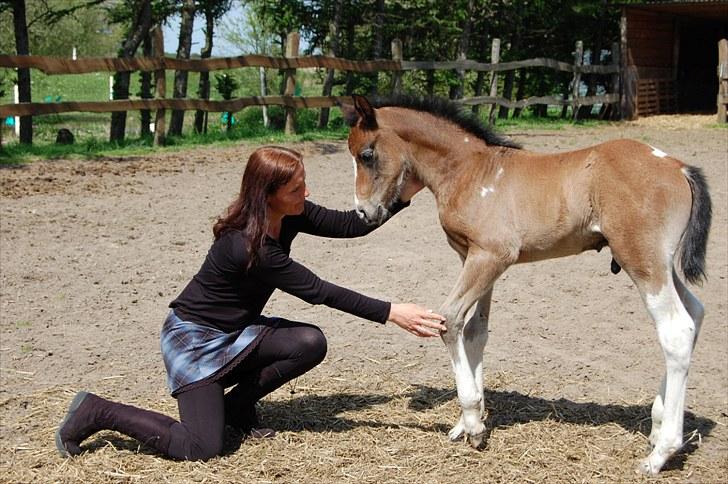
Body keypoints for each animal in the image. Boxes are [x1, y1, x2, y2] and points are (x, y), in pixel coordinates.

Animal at [342, 92, 712, 474]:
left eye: (366, 154)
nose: (363, 212)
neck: (468, 170)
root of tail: (678, 167)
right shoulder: (477, 258)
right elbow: (475, 331)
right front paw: (466, 423)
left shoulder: (491, 256)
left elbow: (451, 319)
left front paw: (473, 425)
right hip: (661, 264)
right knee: (694, 313)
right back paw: (656, 427)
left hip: (641, 259)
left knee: (675, 329)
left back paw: (660, 453)